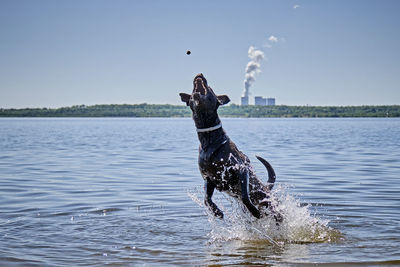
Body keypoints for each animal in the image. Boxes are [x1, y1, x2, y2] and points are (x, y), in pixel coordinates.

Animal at [181, 73, 282, 222]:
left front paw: (255, 211)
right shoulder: (209, 179)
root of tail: (266, 187)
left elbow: (245, 195)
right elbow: (206, 199)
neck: (209, 140)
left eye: (210, 88)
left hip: (273, 207)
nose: (200, 75)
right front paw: (216, 212)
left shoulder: (241, 169)